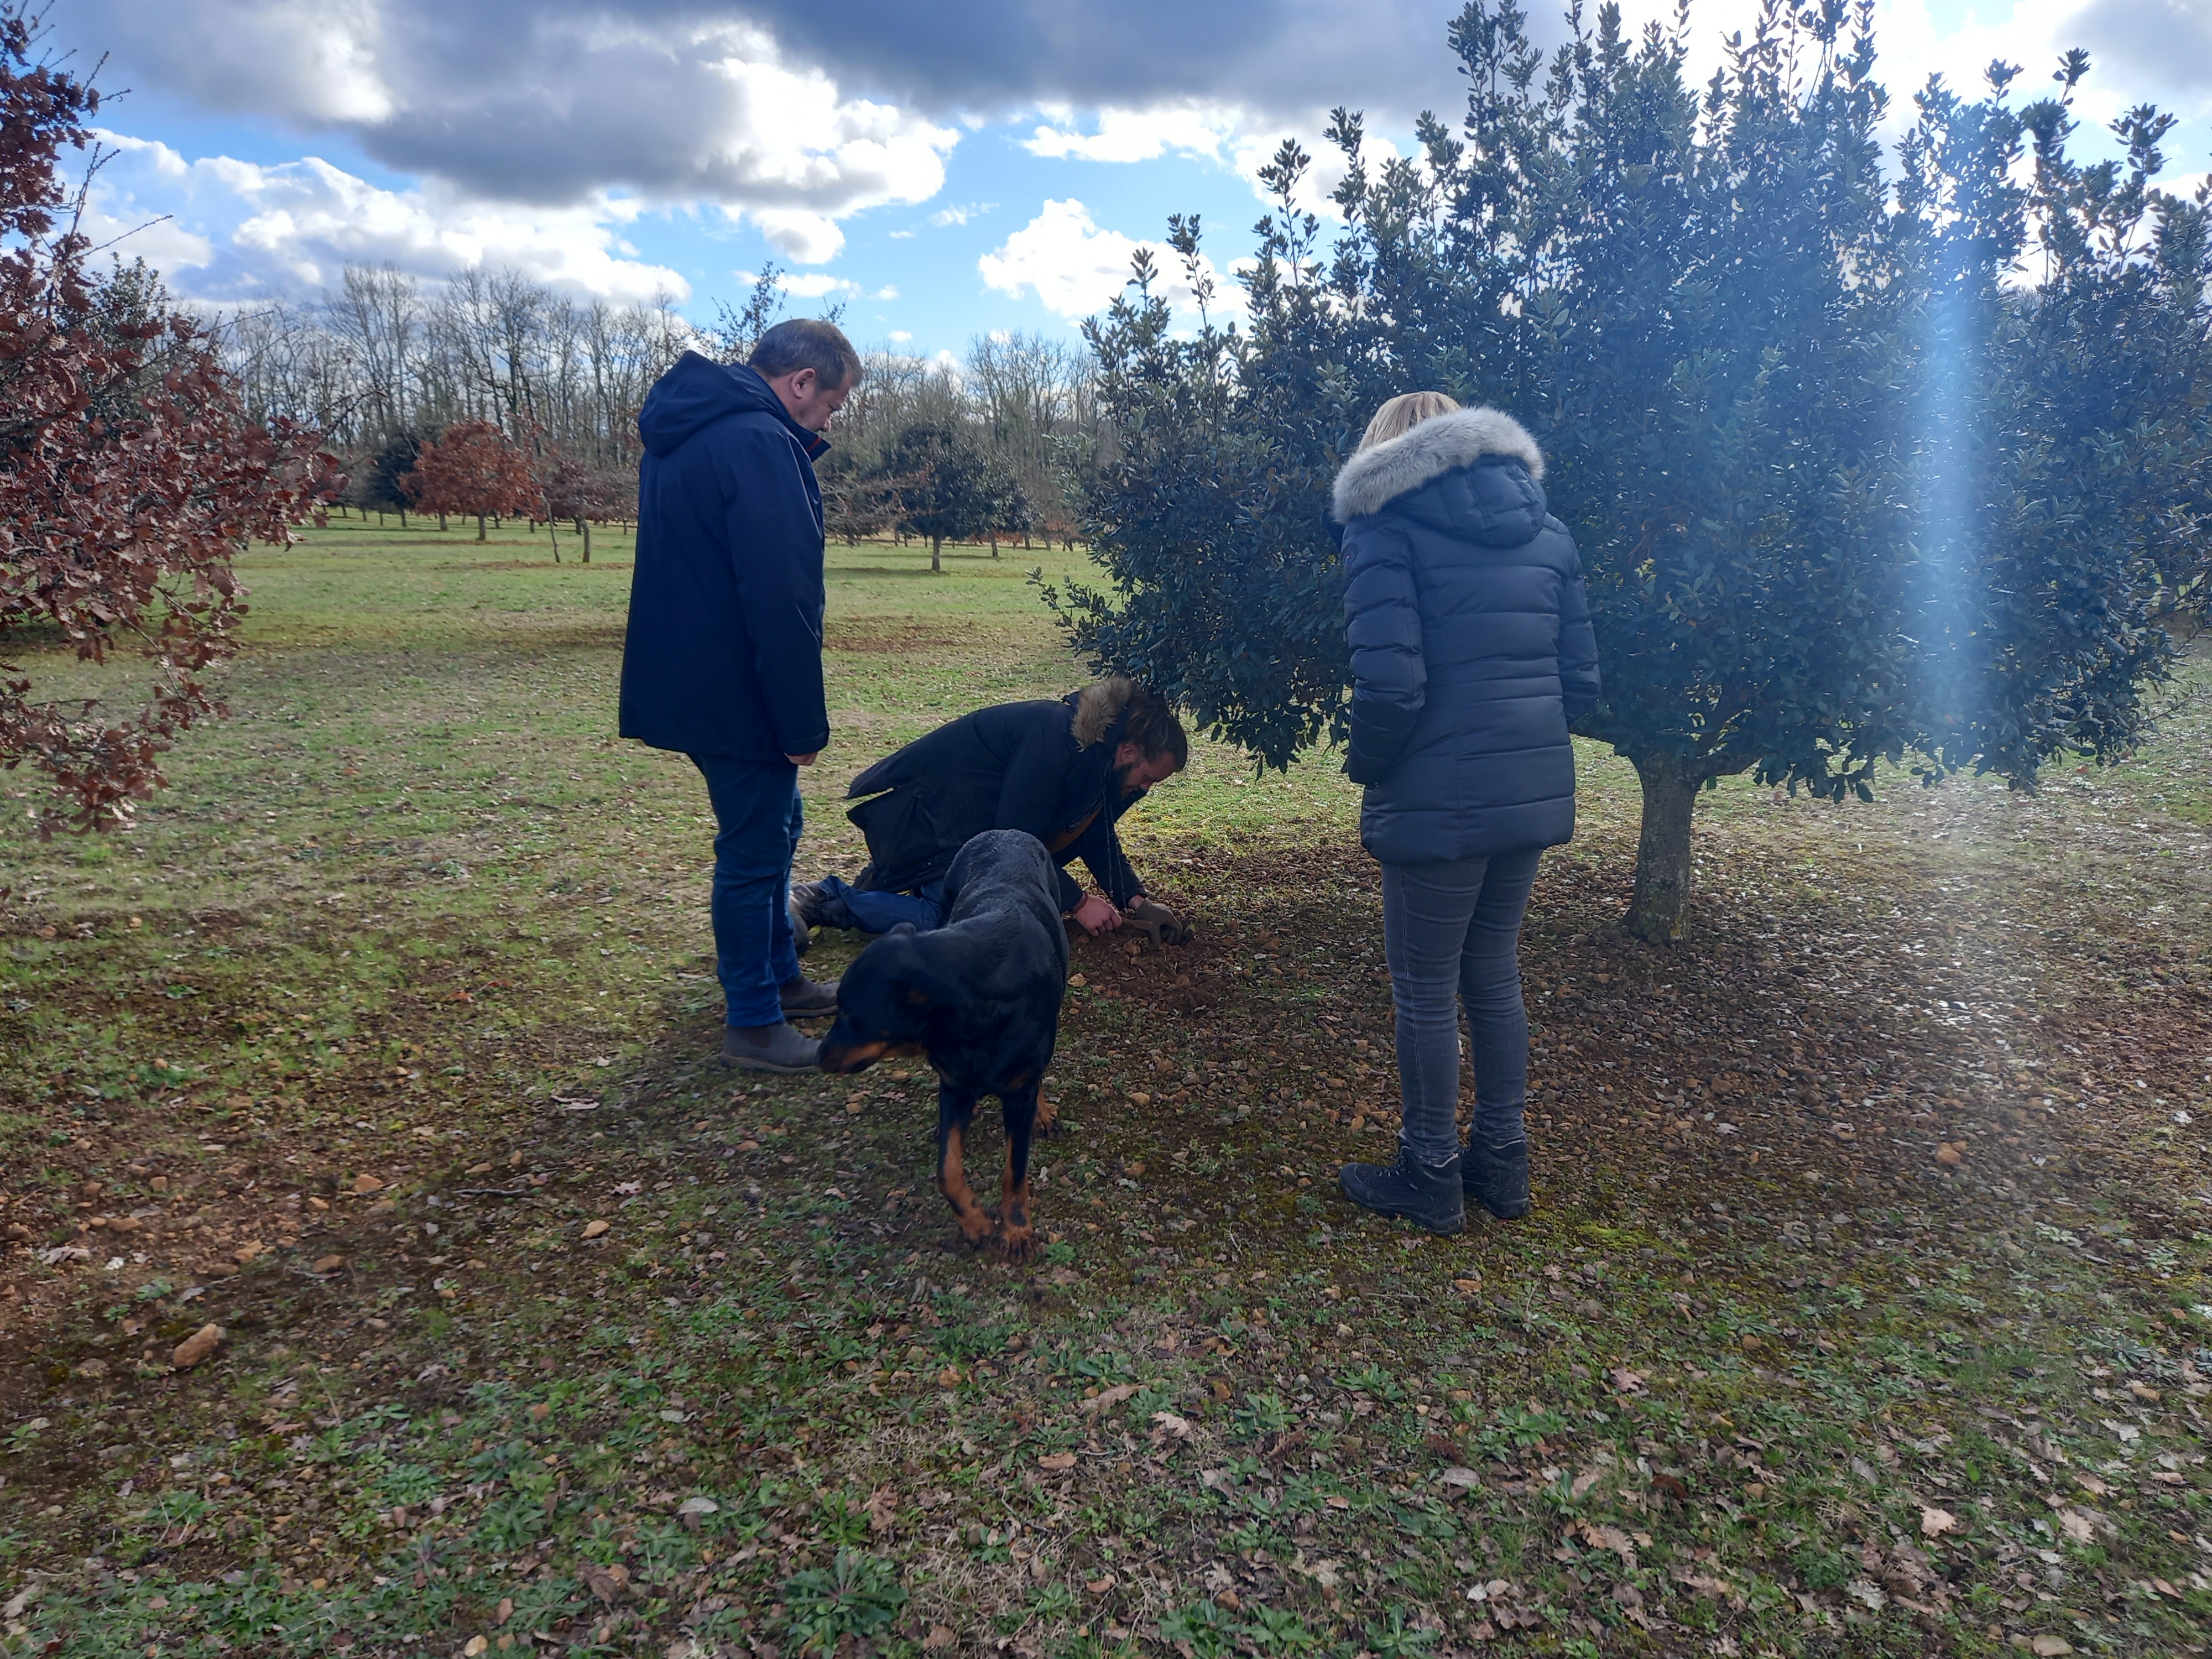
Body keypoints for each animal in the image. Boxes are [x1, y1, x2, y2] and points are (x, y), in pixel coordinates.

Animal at [827, 832, 1075, 1256]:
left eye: (853, 1018)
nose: (818, 1057)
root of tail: (1004, 832)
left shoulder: (1017, 1092)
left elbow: (1015, 1170)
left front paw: (1017, 1230)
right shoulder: (954, 1083)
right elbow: (946, 1170)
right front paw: (974, 1220)